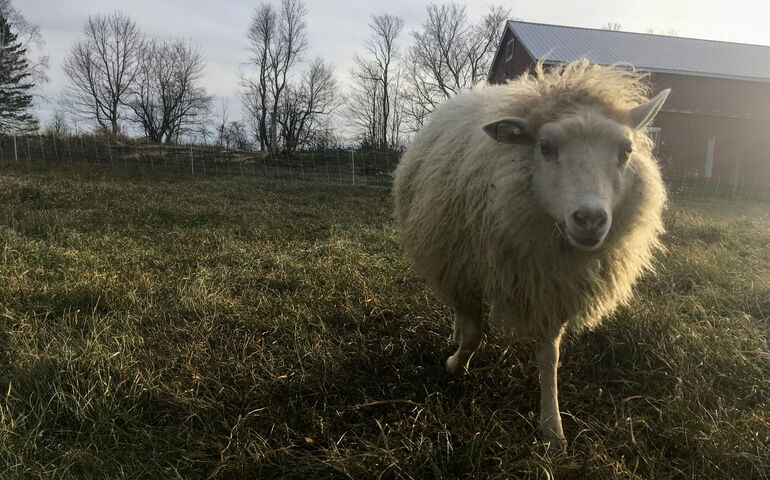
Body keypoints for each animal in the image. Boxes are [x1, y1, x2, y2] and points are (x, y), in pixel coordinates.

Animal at [392, 59, 668, 446]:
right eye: (546, 147)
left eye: (626, 151)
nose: (590, 219)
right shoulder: (462, 270)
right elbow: (474, 332)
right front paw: (455, 365)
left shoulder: (552, 286)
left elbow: (549, 356)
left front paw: (552, 427)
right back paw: (454, 338)